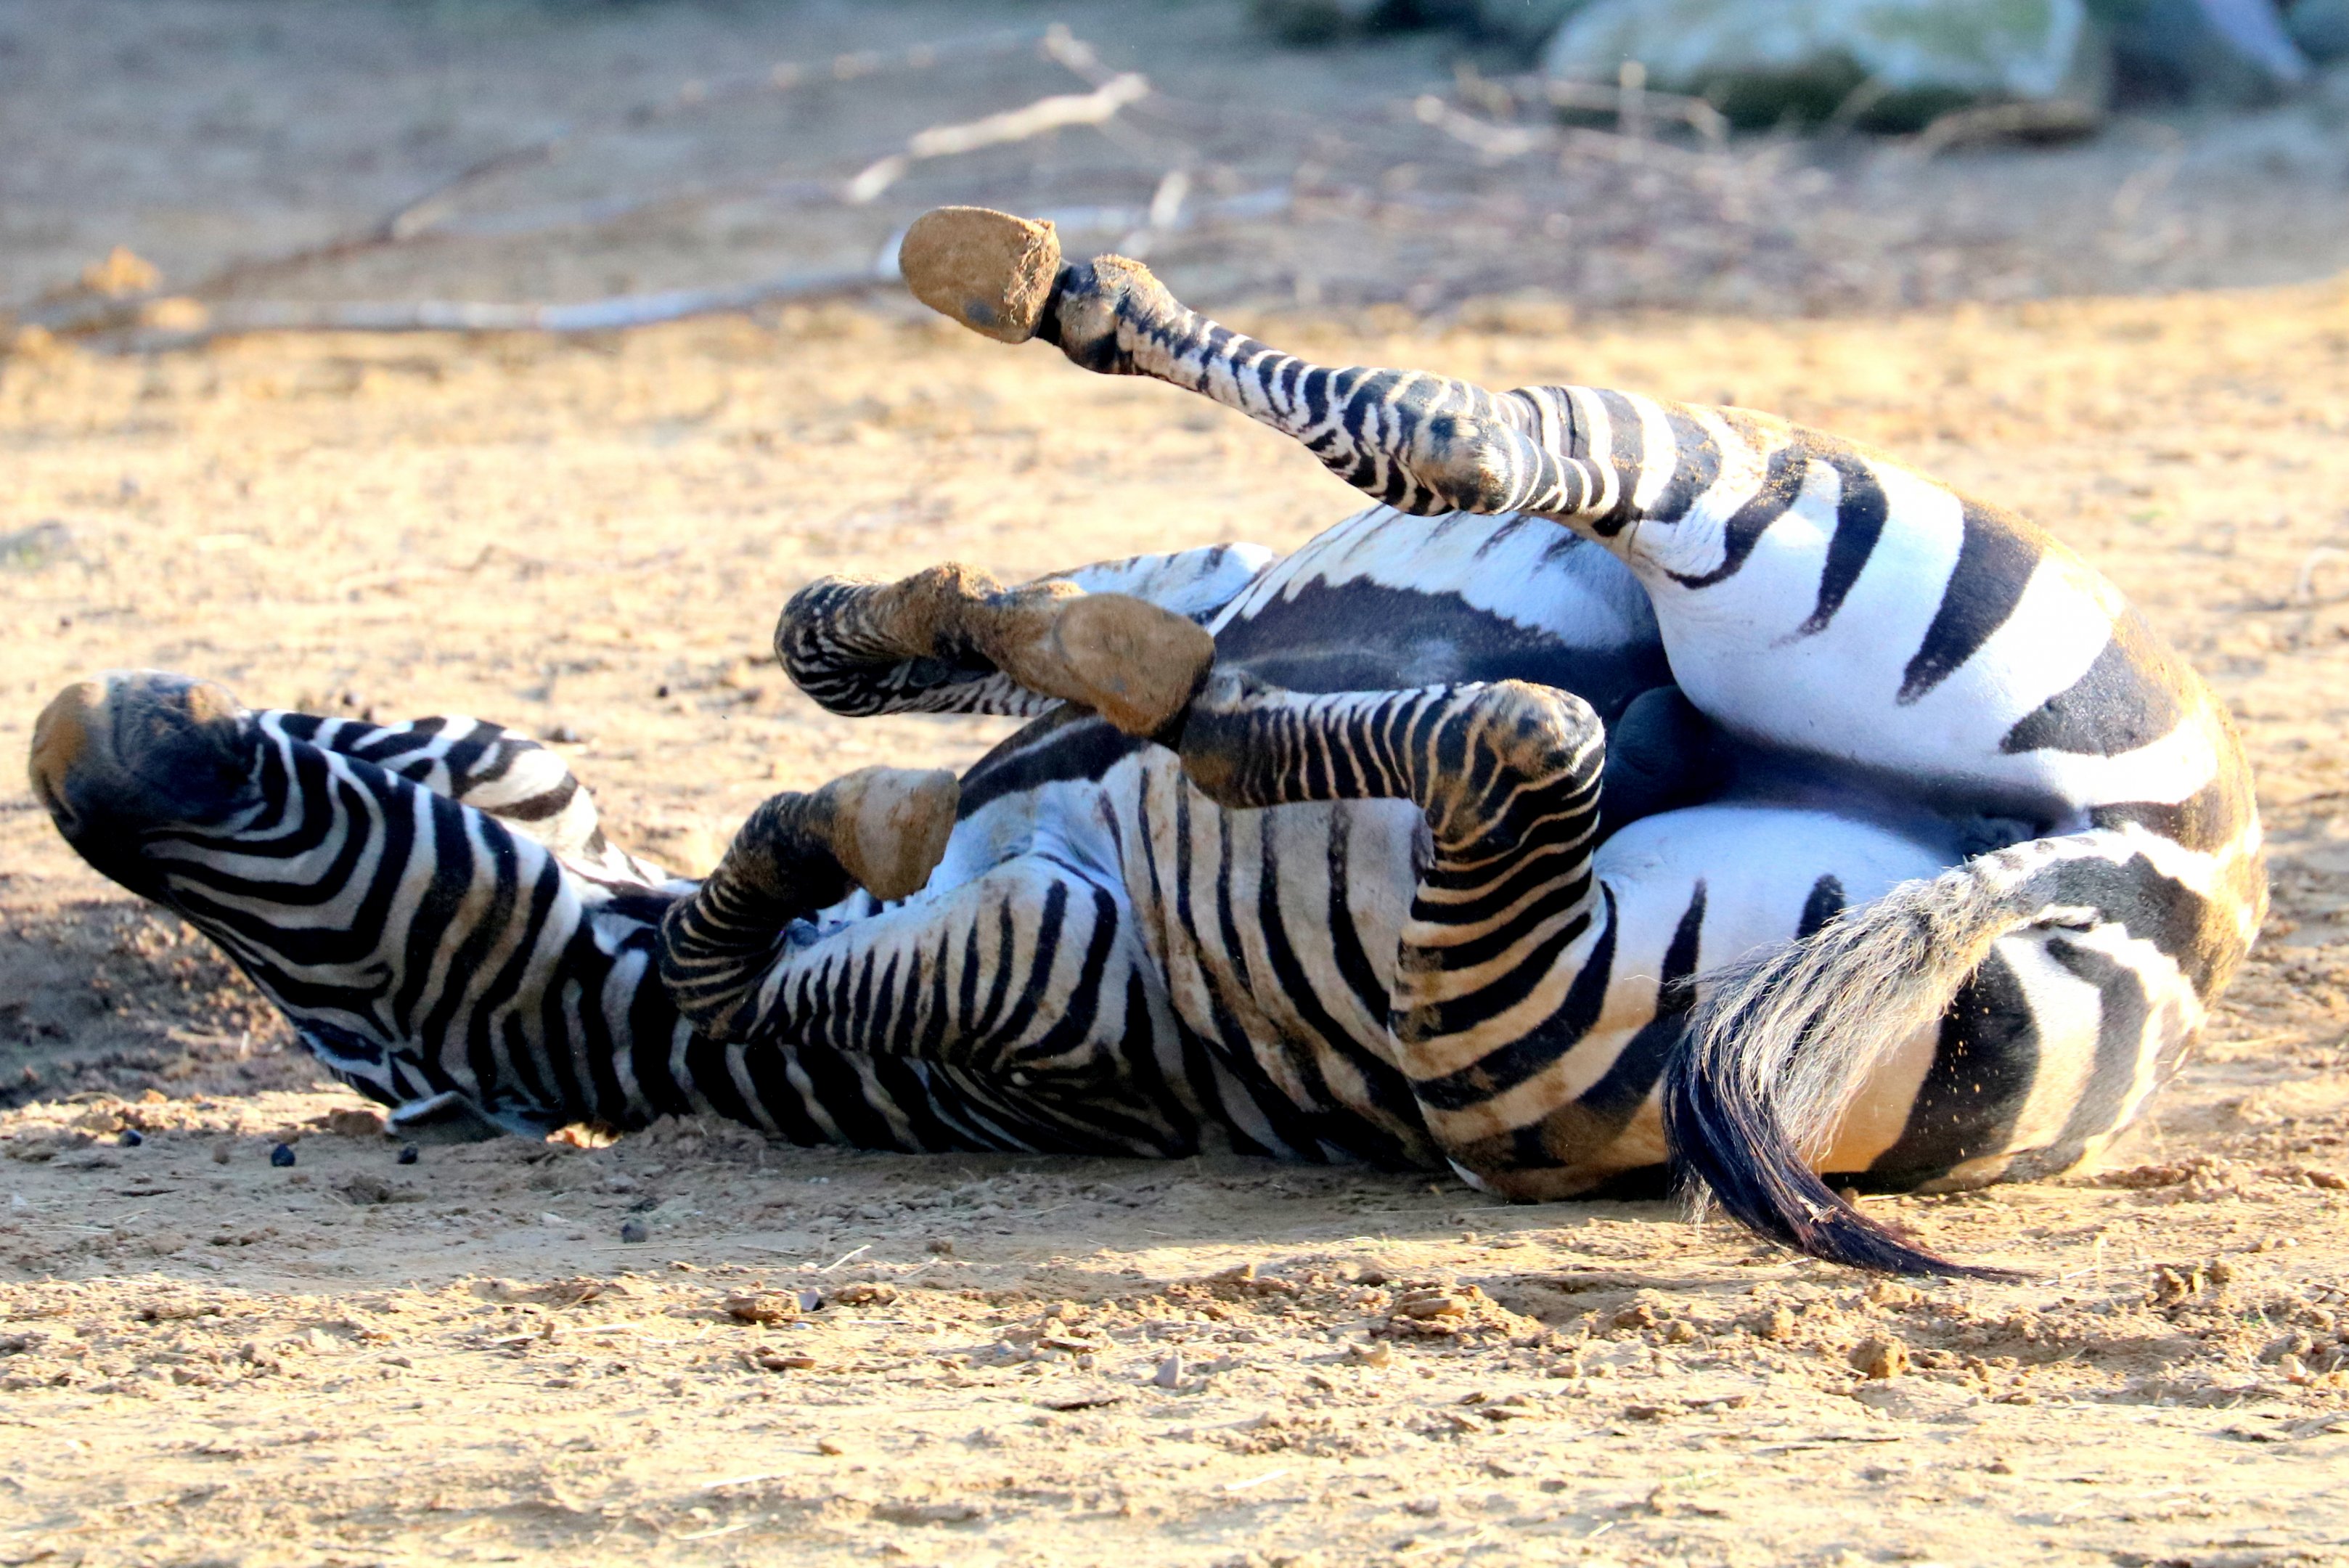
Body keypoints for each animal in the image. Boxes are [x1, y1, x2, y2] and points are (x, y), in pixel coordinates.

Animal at [27, 215, 2260, 1275]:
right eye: (340, 1017)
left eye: (362, 730)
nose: (68, 736)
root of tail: (2173, 890)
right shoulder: (1044, 992)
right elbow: (803, 867)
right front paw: (940, 759)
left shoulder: (1081, 804)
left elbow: (831, 656)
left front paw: (947, 661)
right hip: (1524, 1014)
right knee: (1514, 680)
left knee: (1474, 487)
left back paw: (1047, 316)